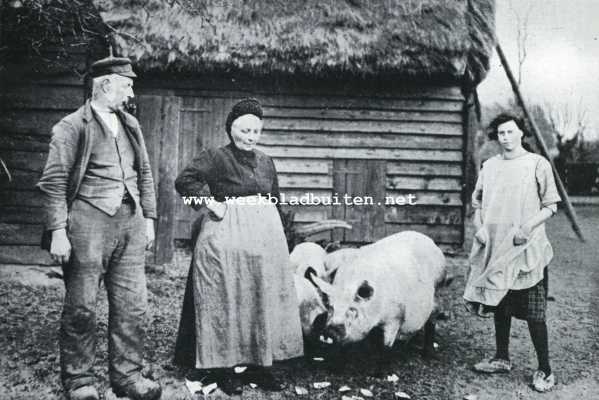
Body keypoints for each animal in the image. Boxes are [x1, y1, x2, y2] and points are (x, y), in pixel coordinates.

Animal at [310, 230, 450, 358]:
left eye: (352, 309)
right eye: (331, 307)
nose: (329, 331)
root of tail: (430, 241)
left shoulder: (395, 318)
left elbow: (385, 347)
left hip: (438, 293)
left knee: (432, 321)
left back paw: (428, 354)